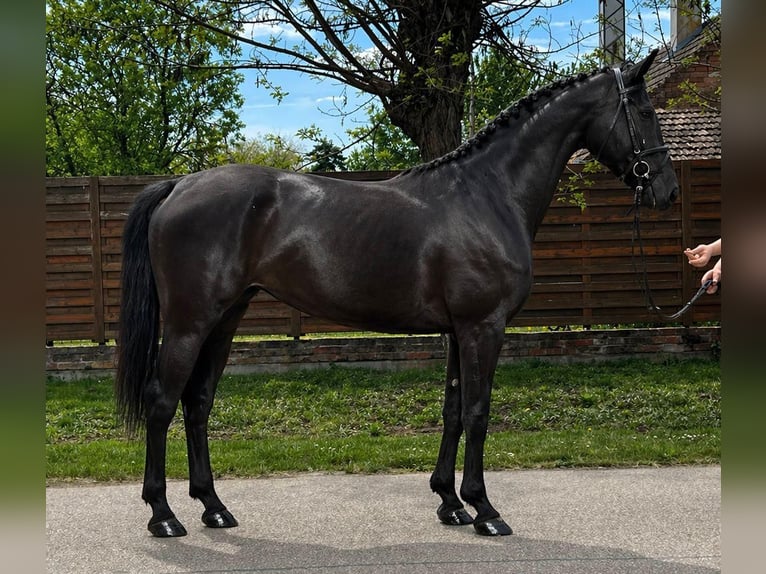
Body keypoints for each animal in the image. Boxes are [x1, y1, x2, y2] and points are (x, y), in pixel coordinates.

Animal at [116, 49, 678, 538]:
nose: (667, 189)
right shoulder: (483, 327)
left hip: (226, 317)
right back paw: (163, 515)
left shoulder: (458, 331)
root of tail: (179, 185)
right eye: (646, 111)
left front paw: (450, 503)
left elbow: (453, 410)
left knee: (198, 403)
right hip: (190, 322)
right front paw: (485, 510)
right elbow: (478, 412)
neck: (488, 195)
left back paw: (213, 507)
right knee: (162, 401)